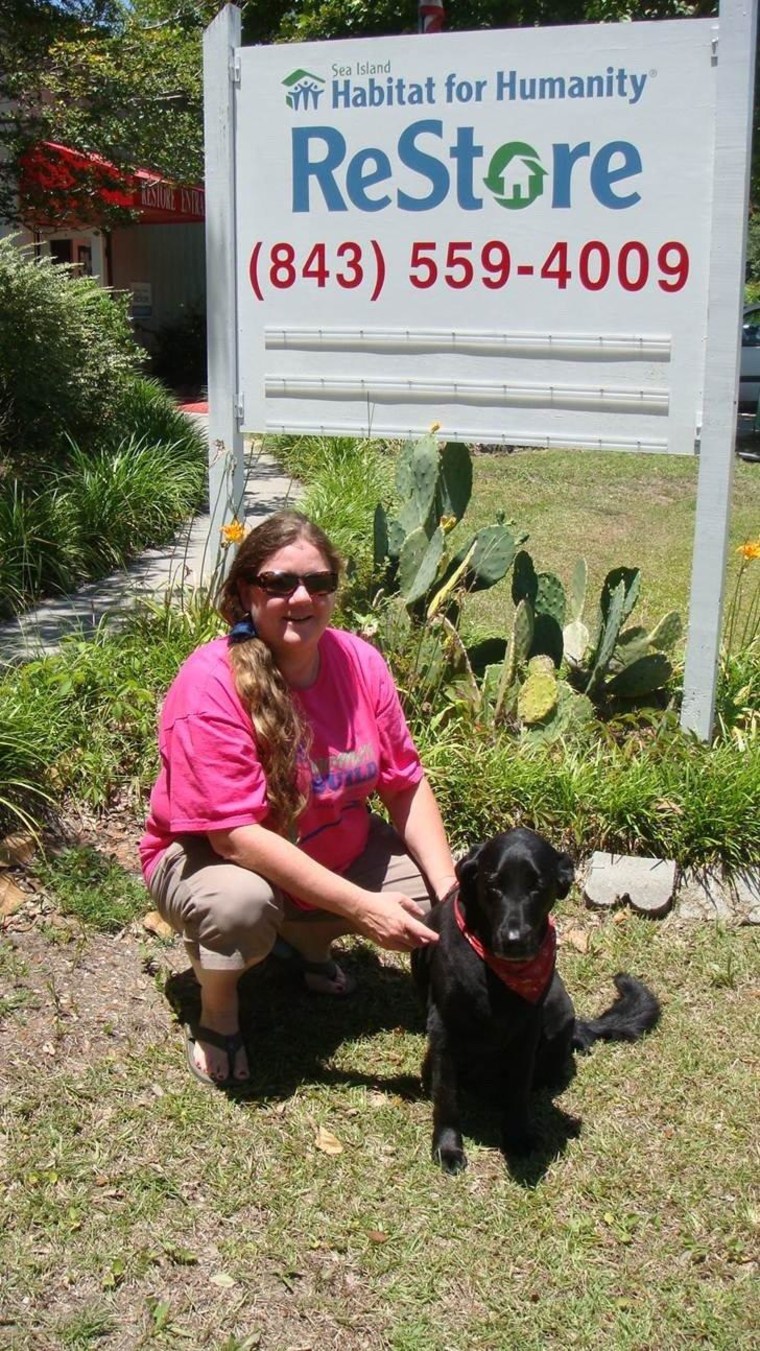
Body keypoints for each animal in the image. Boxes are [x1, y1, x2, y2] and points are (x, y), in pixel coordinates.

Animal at [410, 821, 661, 1172]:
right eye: (493, 884)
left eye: (537, 886)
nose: (514, 939)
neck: (496, 974)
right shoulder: (444, 1028)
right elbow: (446, 1097)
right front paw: (447, 1148)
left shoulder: (526, 1031)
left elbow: (519, 1091)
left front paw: (517, 1138)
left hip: (559, 1007)